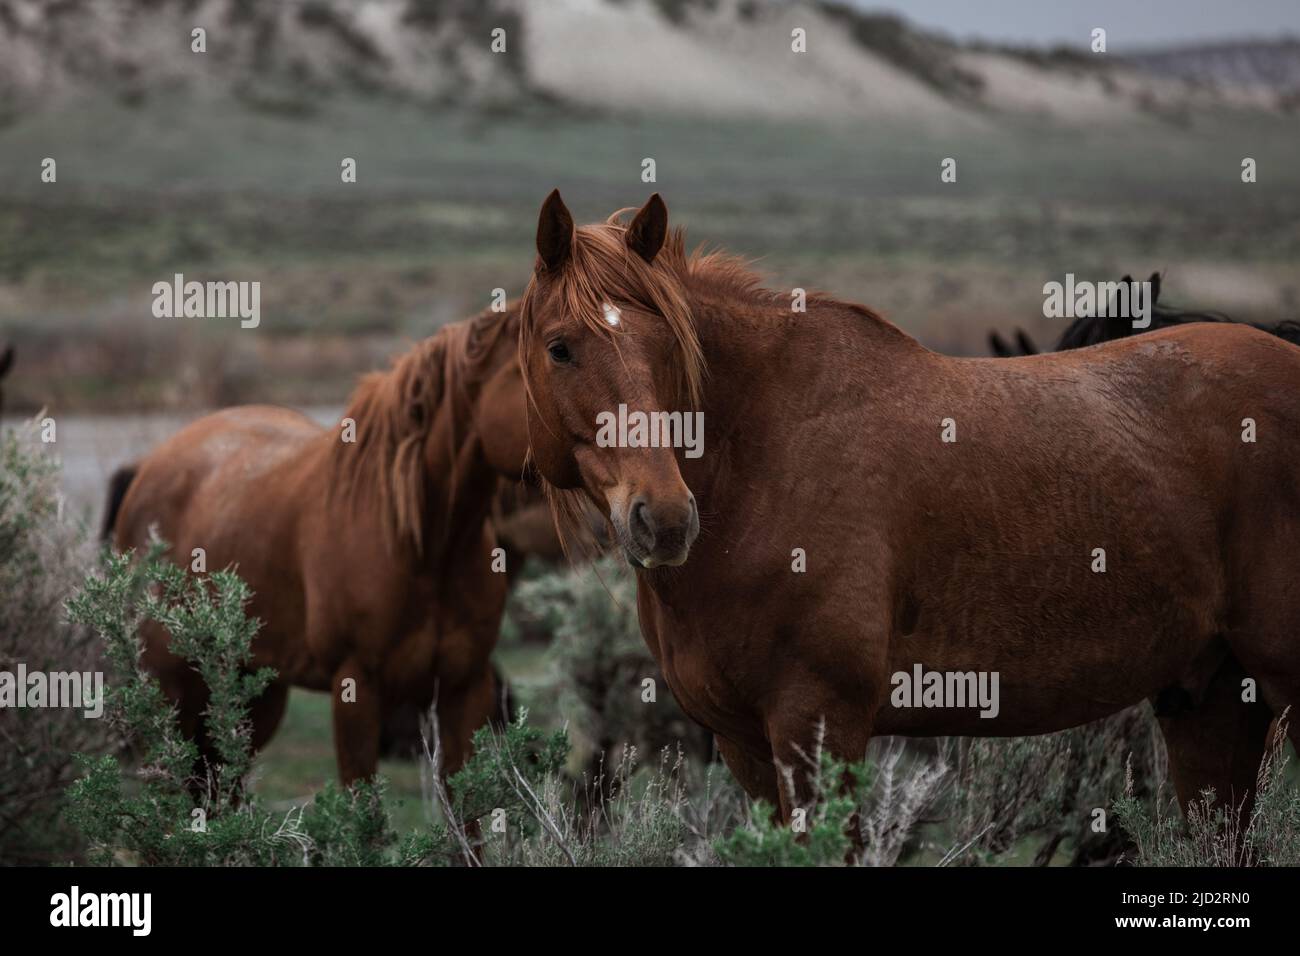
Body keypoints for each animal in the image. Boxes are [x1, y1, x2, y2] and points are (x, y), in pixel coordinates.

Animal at [105, 304, 532, 786]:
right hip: (172, 689)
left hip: (255, 690)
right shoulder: (355, 686)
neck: (423, 542)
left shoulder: (466, 687)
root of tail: (146, 468)